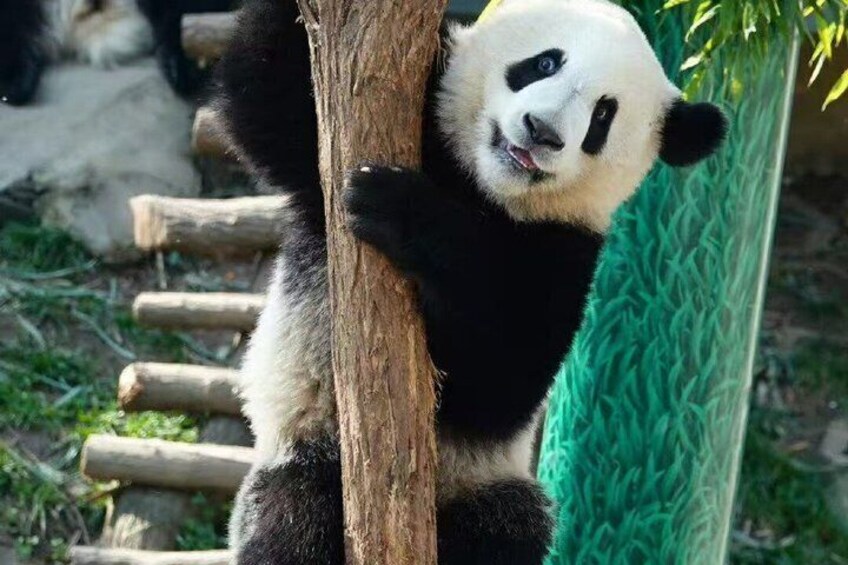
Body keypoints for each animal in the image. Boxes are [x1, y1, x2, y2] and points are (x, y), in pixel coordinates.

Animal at [215, 0, 727, 563]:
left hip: (484, 480)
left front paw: (401, 211)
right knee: (295, 518)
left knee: (510, 524)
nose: (541, 131)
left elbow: (500, 380)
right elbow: (267, 99)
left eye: (602, 116)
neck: (482, 186)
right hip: (304, 449)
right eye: (545, 63)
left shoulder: (565, 252)